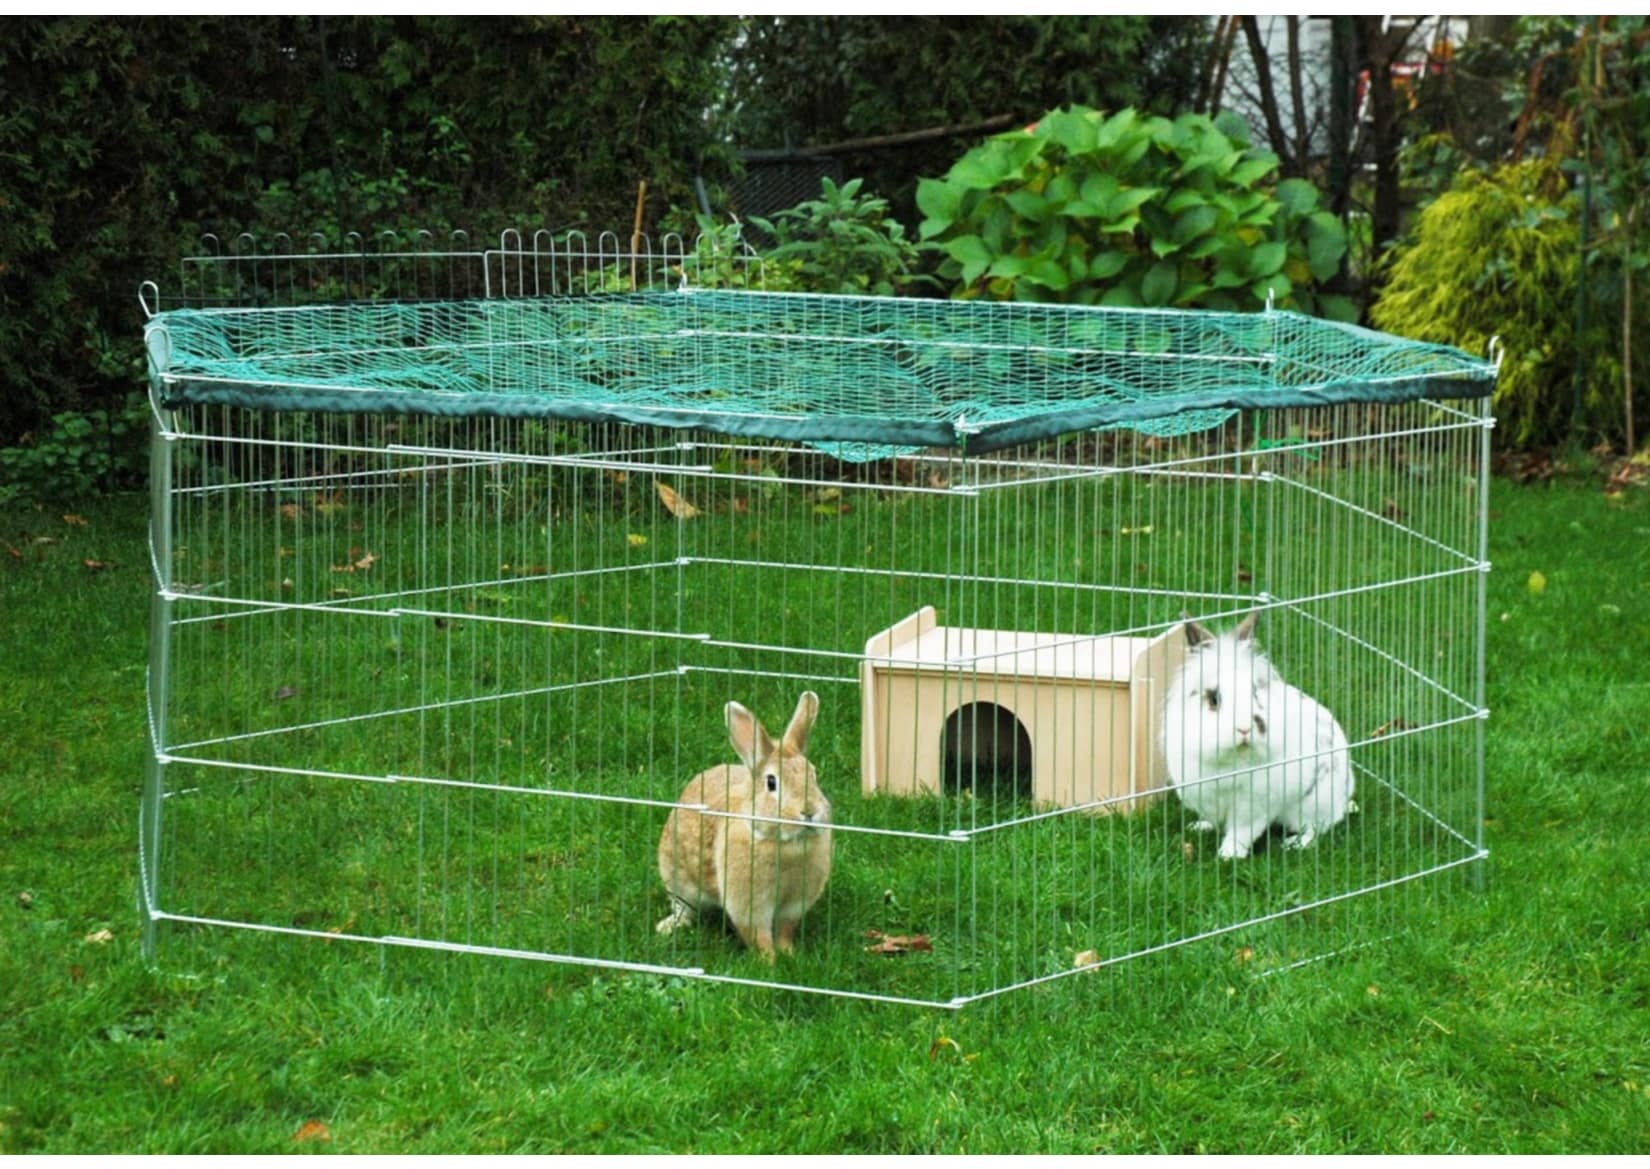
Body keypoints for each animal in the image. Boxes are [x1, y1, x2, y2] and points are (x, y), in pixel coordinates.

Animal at [653, 693, 831, 957]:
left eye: (813, 775)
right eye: (771, 783)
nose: (809, 811)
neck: (784, 844)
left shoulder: (794, 904)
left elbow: (785, 929)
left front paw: (789, 953)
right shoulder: (748, 905)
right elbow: (759, 935)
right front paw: (770, 960)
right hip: (674, 875)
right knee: (683, 908)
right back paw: (668, 927)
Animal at [1161, 610, 1353, 858]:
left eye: (1254, 692)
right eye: (1214, 698)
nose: (1244, 728)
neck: (1232, 759)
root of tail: (1344, 799)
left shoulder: (1253, 806)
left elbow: (1241, 832)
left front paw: (1228, 856)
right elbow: (1214, 818)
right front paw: (1201, 827)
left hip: (1314, 802)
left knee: (1315, 829)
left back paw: (1294, 844)